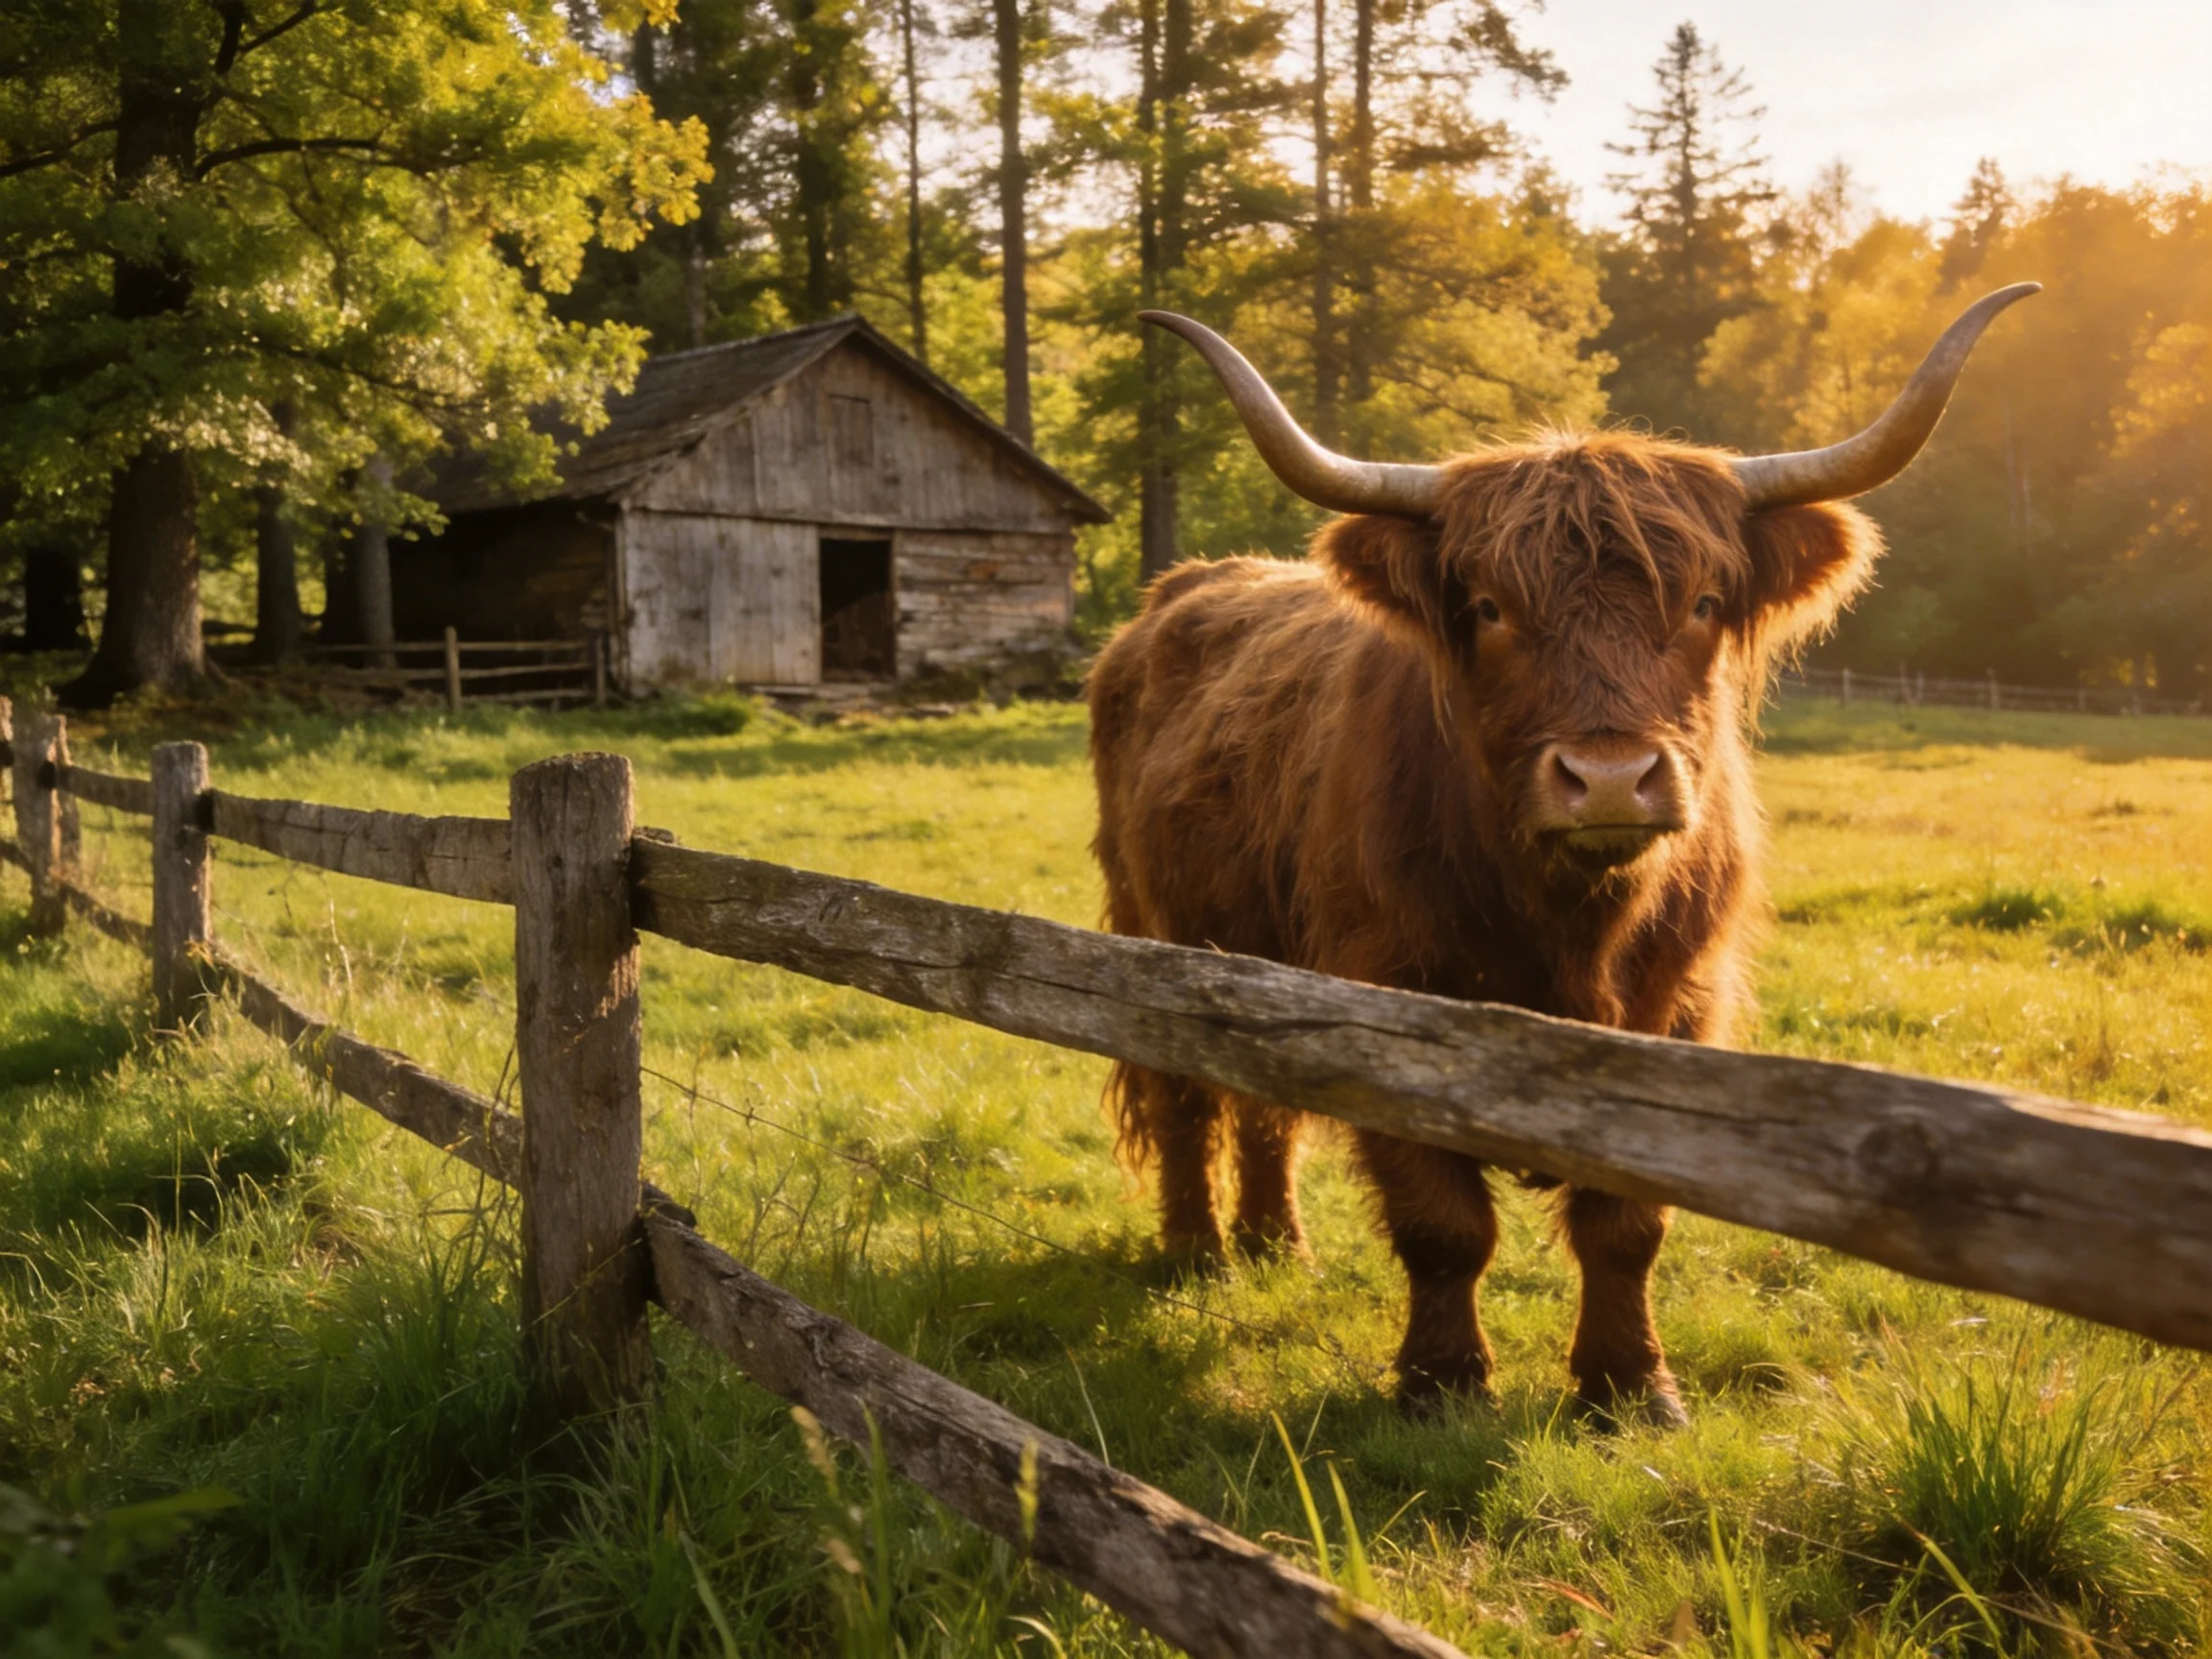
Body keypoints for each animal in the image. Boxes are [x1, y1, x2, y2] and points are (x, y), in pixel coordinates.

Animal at [1088, 285, 2037, 1427]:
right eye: (1491, 608)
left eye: (1704, 604)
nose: (1613, 777)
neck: (1572, 926)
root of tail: (1172, 598)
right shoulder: (1382, 992)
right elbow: (1443, 1220)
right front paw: (1443, 1381)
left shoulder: (1680, 1005)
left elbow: (1626, 1223)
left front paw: (1630, 1385)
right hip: (1155, 932)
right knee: (1185, 1094)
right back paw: (1197, 1252)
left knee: (1266, 1107)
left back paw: (1277, 1244)